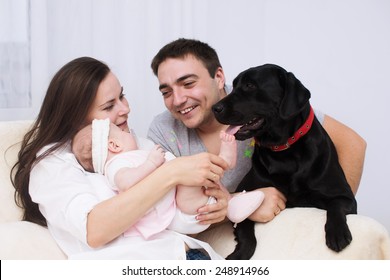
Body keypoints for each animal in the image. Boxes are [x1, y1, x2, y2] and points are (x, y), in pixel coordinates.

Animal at [213, 64, 356, 260]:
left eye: (250, 85)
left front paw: (337, 233)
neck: (284, 152)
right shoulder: (245, 194)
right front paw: (239, 254)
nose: (214, 108)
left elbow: (335, 205)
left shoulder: (346, 197)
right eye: (234, 86)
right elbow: (246, 233)